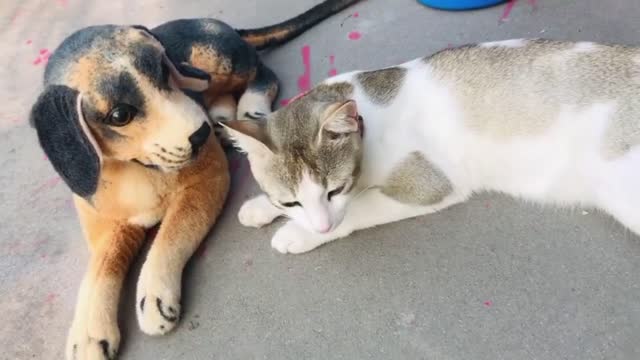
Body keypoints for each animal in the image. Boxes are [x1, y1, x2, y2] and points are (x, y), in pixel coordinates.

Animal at [222, 38, 640, 253]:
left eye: (334, 190)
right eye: (289, 200)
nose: (321, 226)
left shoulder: (429, 184)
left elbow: (361, 208)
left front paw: (297, 233)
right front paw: (263, 208)